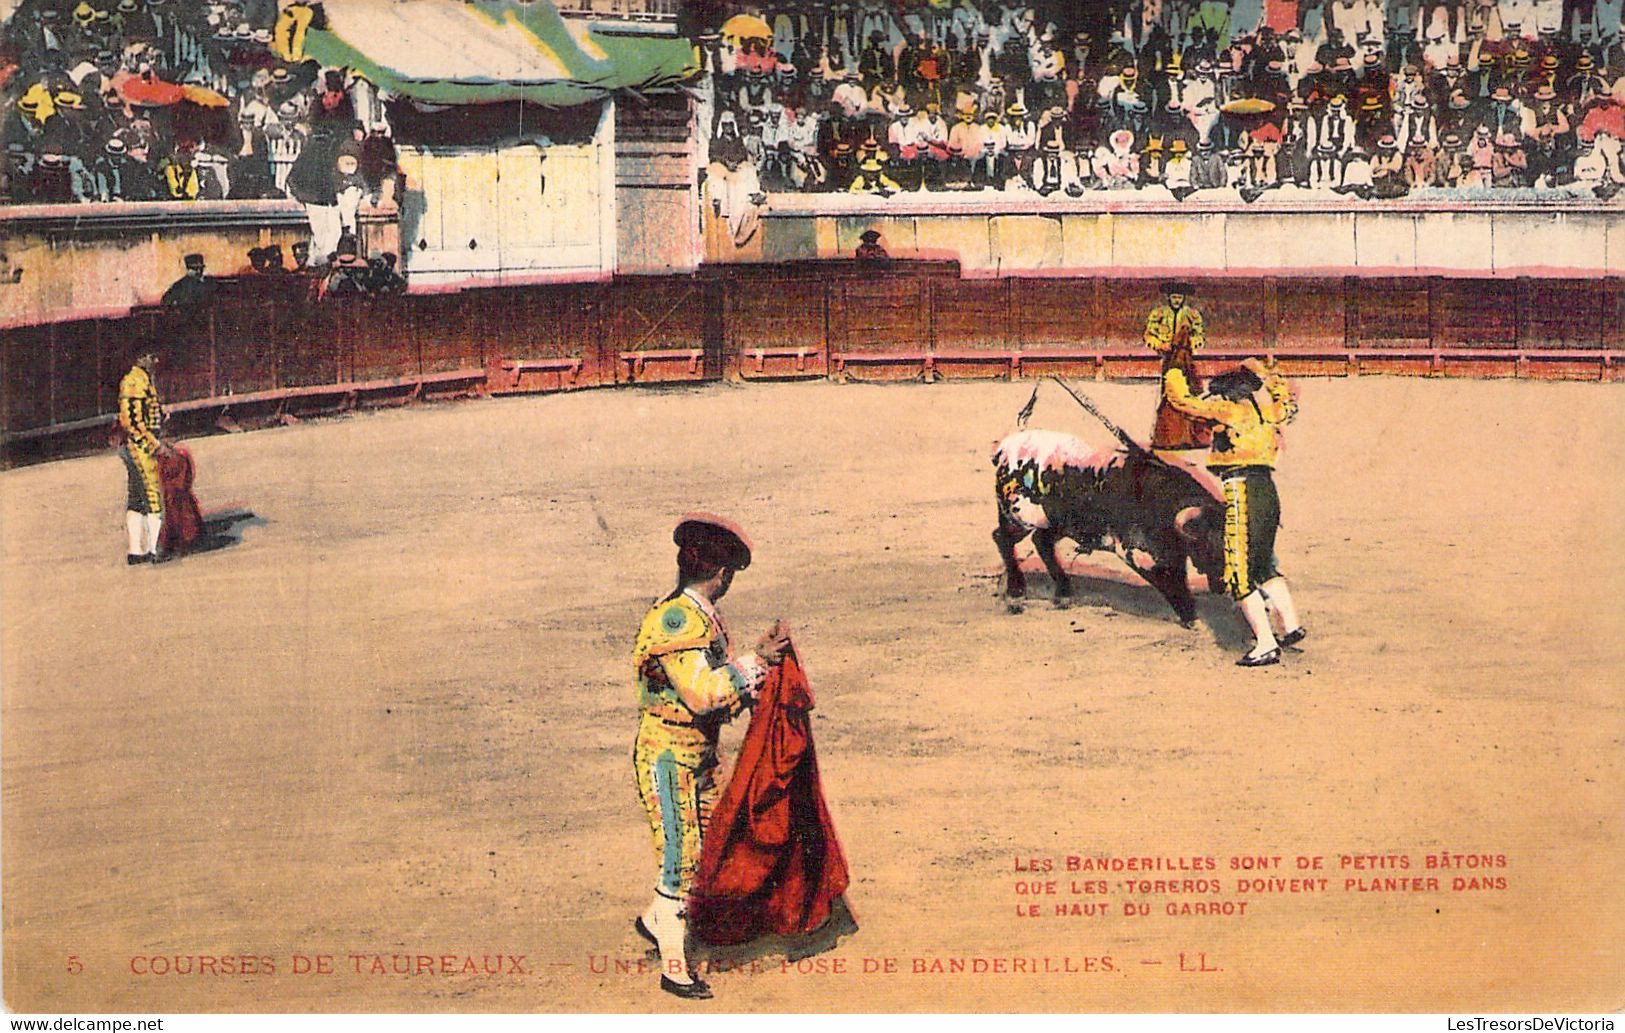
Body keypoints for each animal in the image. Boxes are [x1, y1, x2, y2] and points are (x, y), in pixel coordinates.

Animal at [988, 428, 1228, 620]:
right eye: (1207, 543)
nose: (1223, 584)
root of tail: (1004, 449)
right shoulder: (1137, 552)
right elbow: (1170, 580)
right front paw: (1189, 615)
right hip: (1018, 517)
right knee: (1003, 538)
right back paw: (1016, 594)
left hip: (1057, 522)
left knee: (1041, 542)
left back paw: (1063, 594)